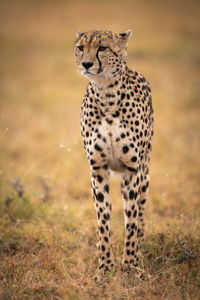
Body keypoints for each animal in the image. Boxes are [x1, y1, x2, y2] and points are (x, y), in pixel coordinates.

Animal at [74, 29, 154, 278]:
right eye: (80, 47)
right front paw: (105, 267)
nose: (87, 64)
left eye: (102, 48)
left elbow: (131, 220)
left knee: (140, 211)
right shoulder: (98, 169)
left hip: (145, 173)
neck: (106, 94)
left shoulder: (132, 170)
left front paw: (130, 265)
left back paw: (140, 247)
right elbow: (103, 219)